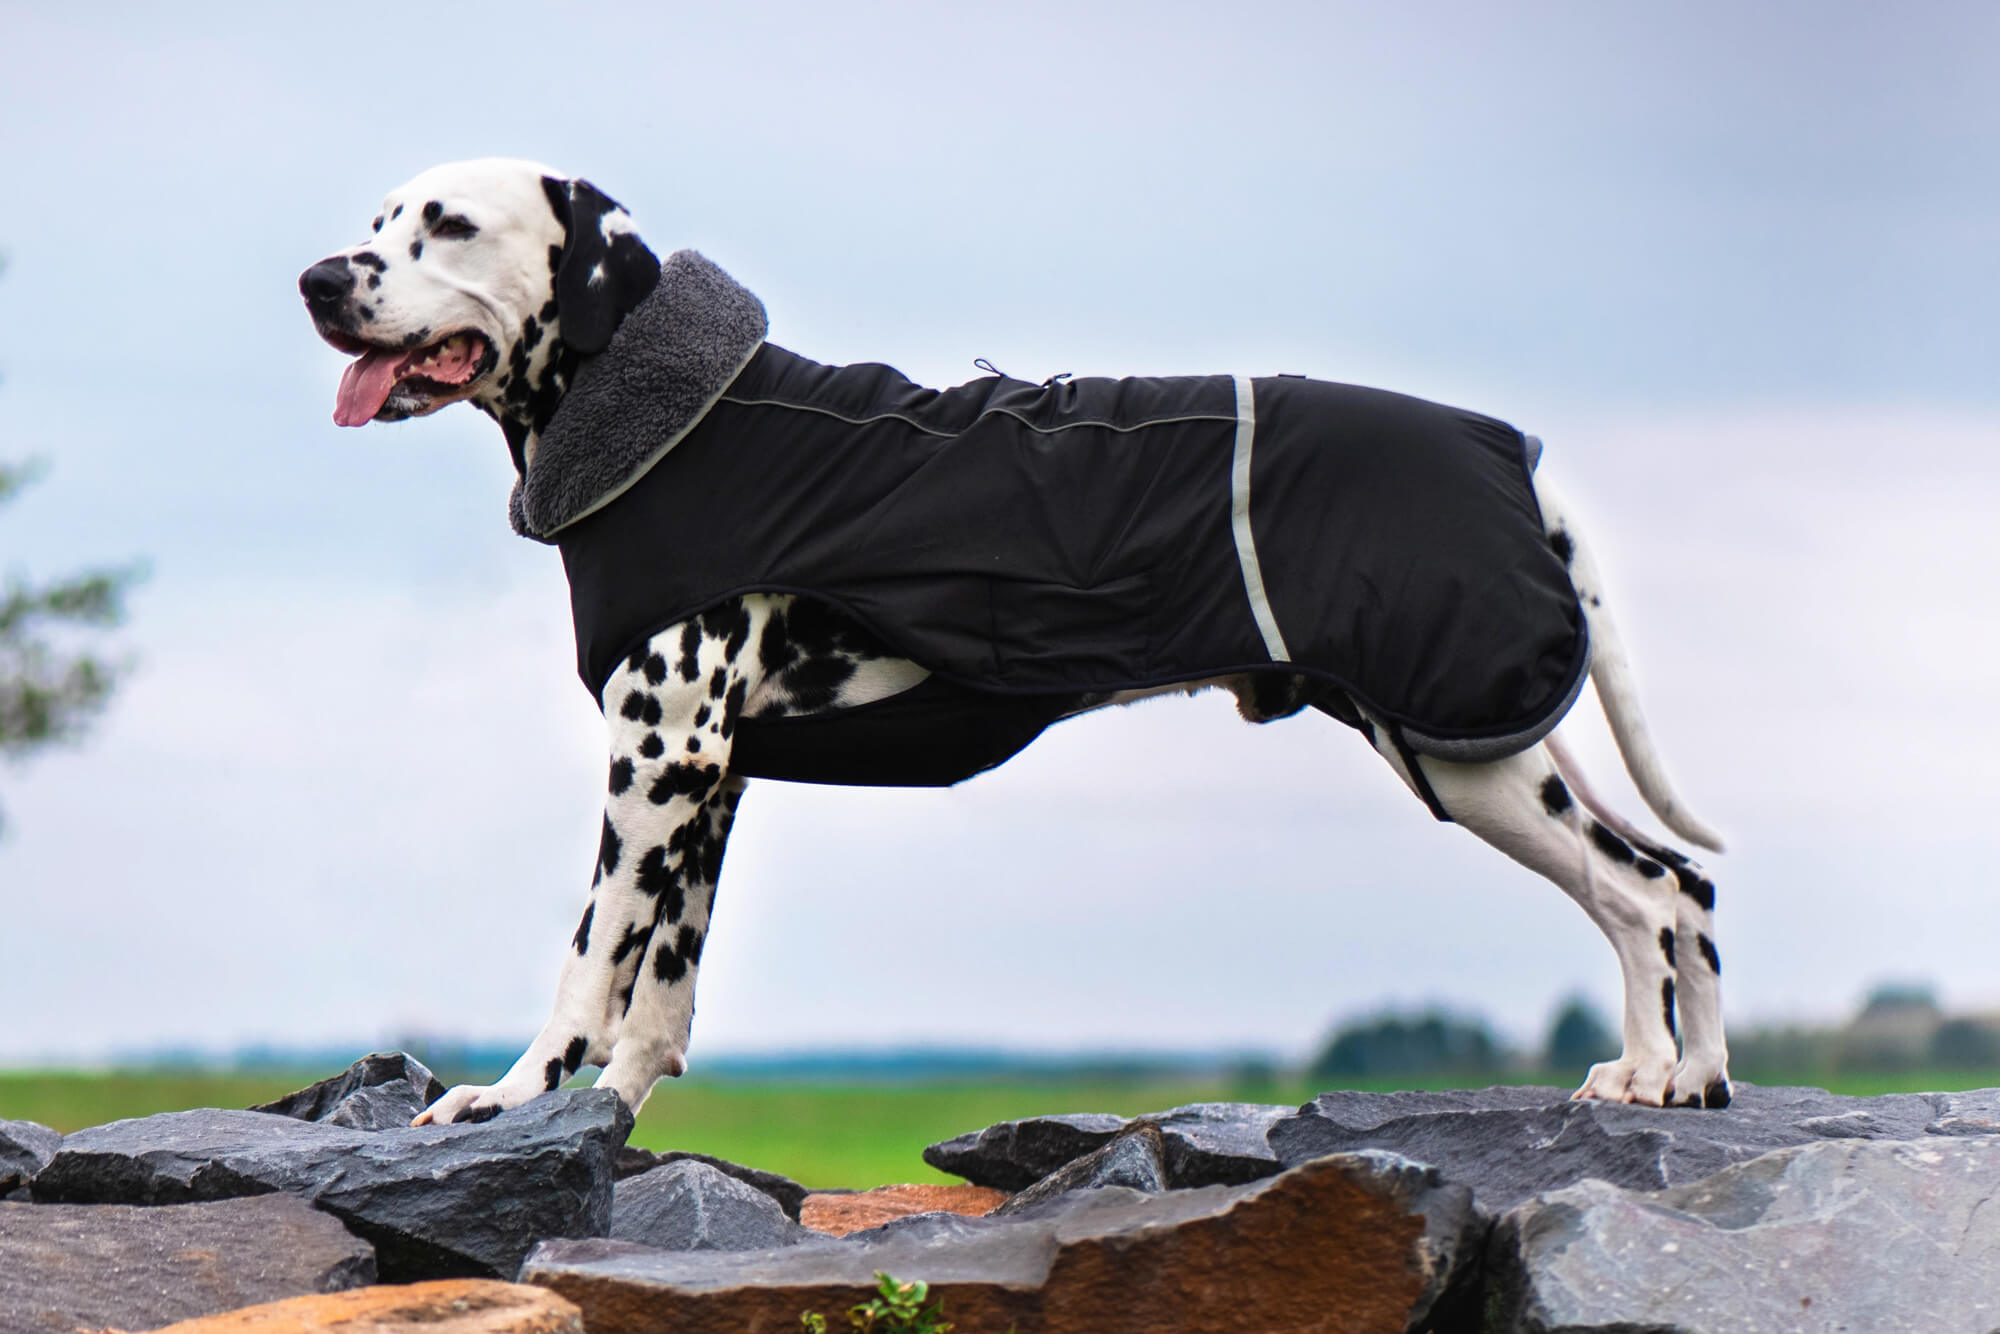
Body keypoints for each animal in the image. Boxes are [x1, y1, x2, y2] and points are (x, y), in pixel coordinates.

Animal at [300, 162, 1736, 1136]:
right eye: (376, 223)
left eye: (448, 225)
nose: (319, 281)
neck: (669, 415)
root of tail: (1511, 451)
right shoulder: (707, 782)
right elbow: (662, 996)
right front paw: (614, 1115)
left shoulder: (657, 763)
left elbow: (589, 963)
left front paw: (506, 1096)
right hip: (1490, 743)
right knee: (1682, 892)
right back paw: (1687, 1074)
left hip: (1468, 754)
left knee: (1645, 893)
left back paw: (1657, 1074)